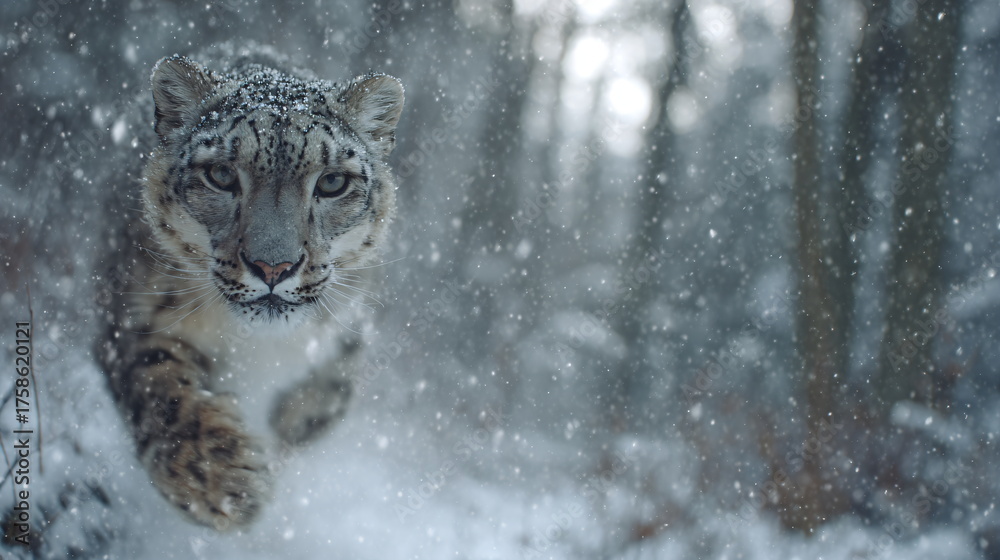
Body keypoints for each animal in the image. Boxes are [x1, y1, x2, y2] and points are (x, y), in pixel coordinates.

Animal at [94, 52, 404, 531]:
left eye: (332, 182)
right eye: (221, 174)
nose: (273, 266)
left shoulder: (349, 329)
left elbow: (328, 392)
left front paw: (289, 424)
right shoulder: (137, 312)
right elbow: (158, 380)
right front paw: (219, 477)